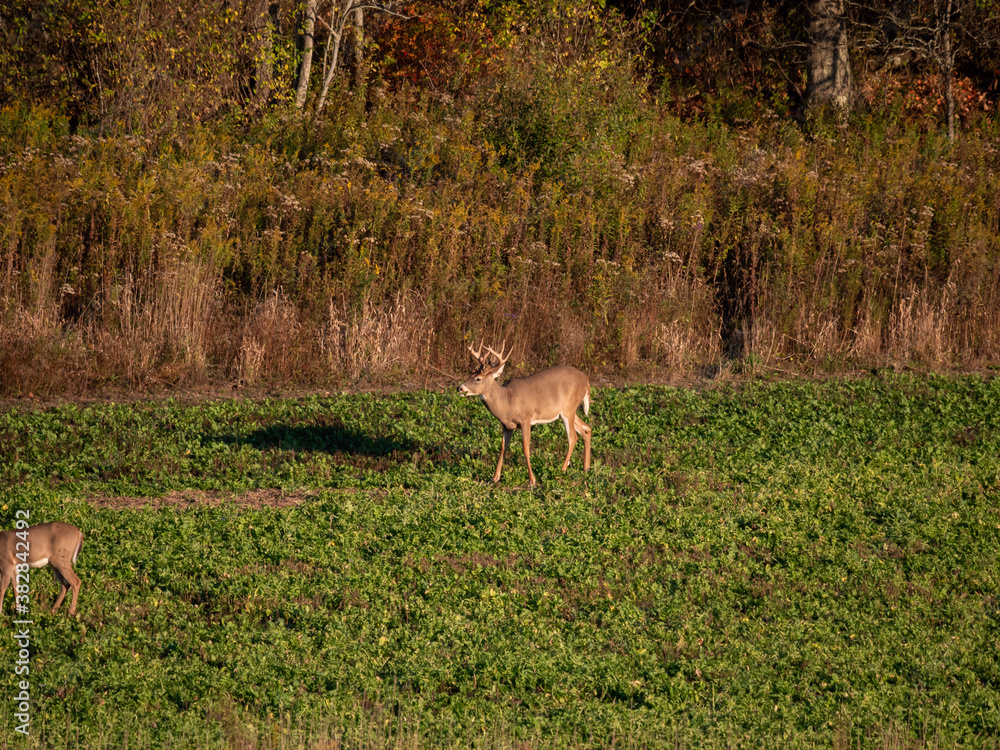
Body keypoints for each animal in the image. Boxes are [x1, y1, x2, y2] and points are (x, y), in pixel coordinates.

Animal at [458, 340, 591, 487]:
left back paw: (562, 470)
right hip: (568, 411)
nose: (459, 388)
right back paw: (586, 468)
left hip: (569, 408)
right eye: (469, 375)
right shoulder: (506, 426)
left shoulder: (526, 419)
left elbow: (525, 447)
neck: (507, 401)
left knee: (573, 437)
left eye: (478, 379)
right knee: (586, 429)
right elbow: (503, 448)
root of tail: (586, 379)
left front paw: (532, 480)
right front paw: (494, 478)